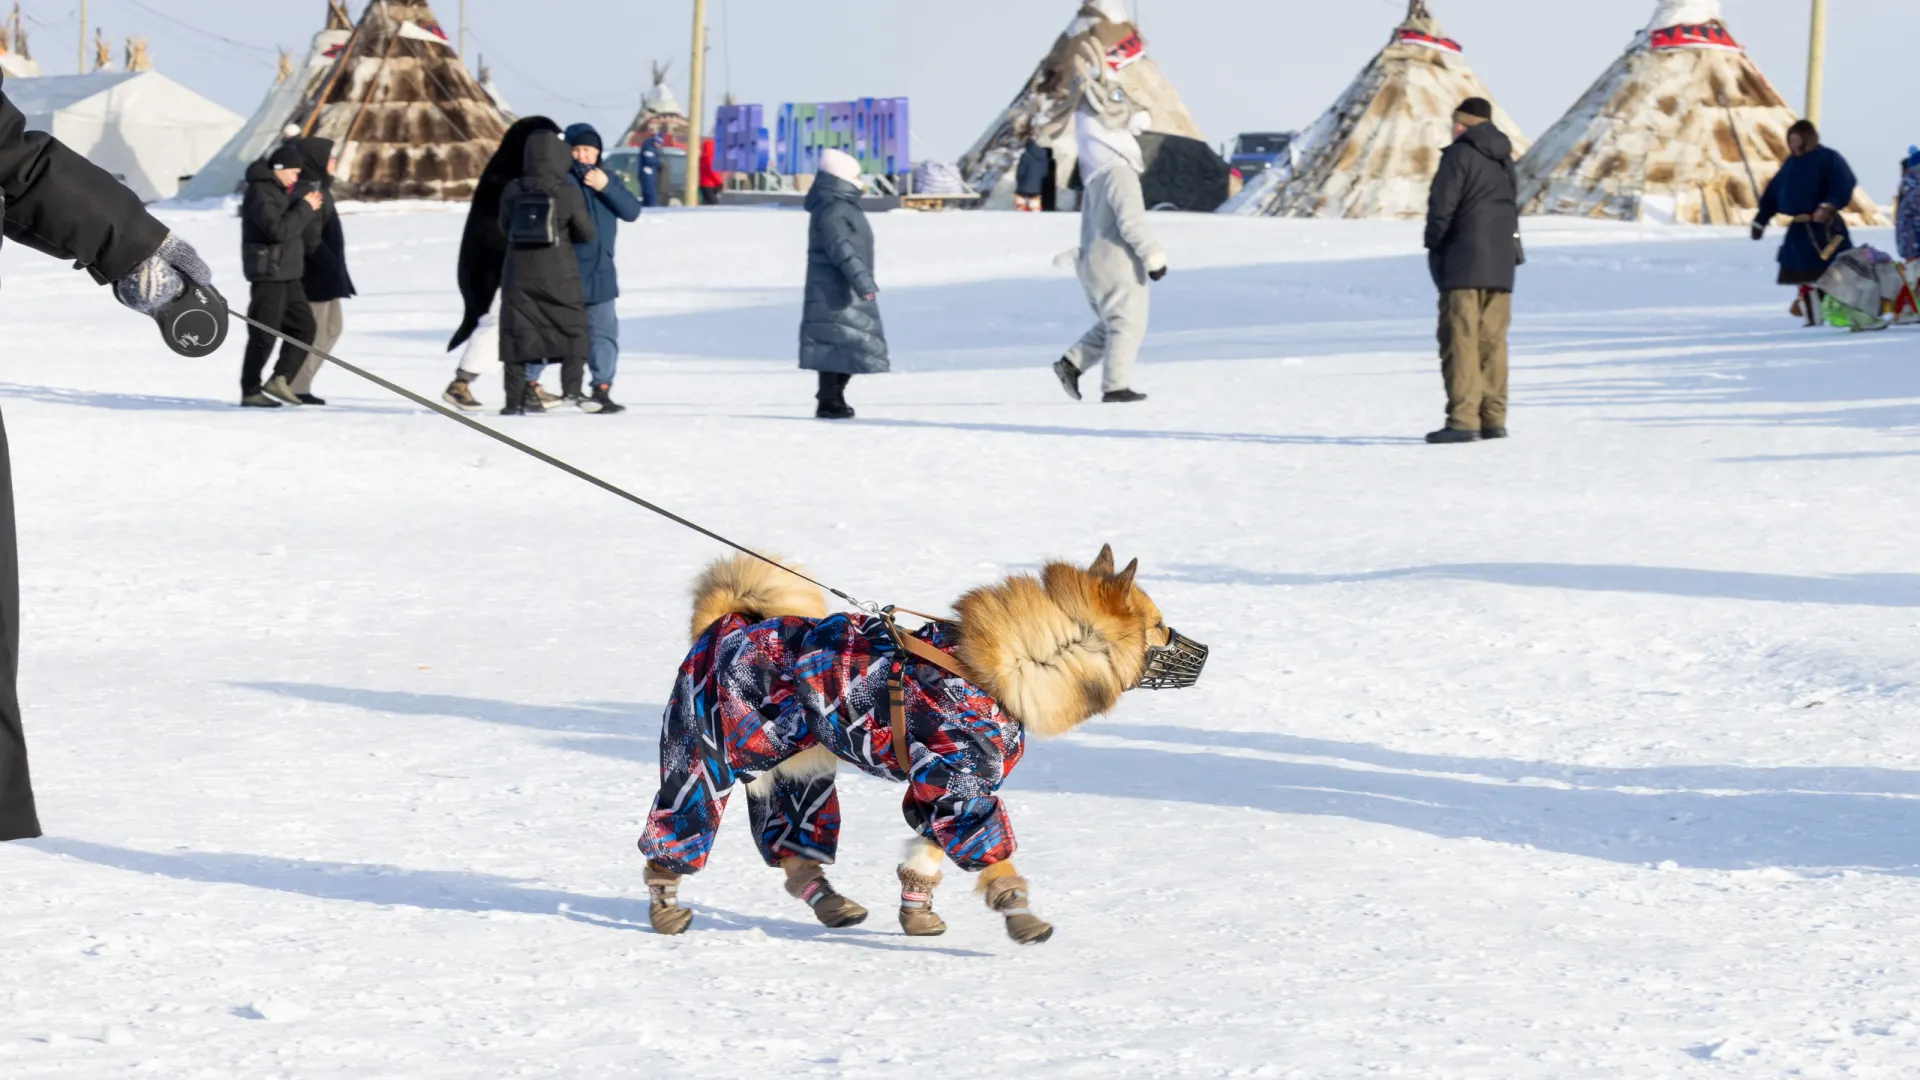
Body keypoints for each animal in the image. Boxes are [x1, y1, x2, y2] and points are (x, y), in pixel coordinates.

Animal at [637, 541, 1205, 937]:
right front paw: (1018, 910)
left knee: (793, 840)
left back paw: (825, 897)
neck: (1001, 668)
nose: (1204, 652)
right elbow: (990, 849)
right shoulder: (959, 784)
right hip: (706, 758)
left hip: (801, 773)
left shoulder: (950, 783)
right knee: (680, 825)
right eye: (1159, 624)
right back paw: (665, 900)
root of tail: (725, 623)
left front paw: (917, 908)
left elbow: (927, 845)